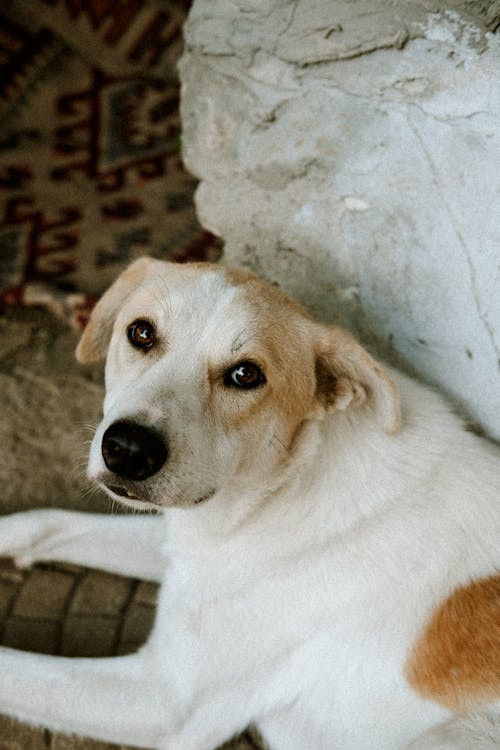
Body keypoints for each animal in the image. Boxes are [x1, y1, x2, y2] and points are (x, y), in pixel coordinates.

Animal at [0, 256, 498, 748]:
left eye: (245, 375)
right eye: (141, 333)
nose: (127, 449)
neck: (281, 487)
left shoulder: (165, 698)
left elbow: (14, 671)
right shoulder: (189, 549)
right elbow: (42, 522)